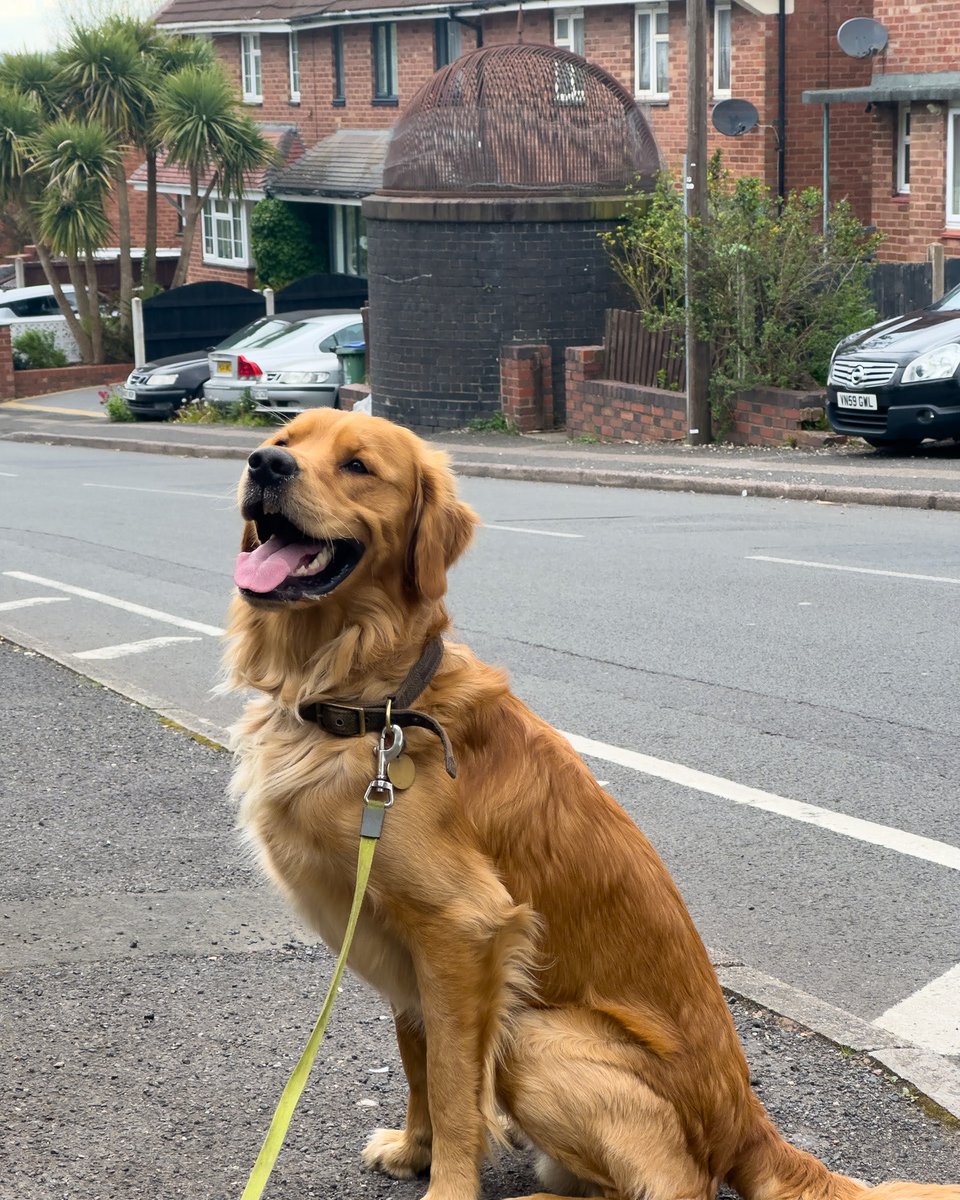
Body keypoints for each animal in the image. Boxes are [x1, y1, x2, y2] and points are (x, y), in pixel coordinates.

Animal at [226, 410, 960, 1200]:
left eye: (358, 465)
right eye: (287, 440)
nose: (264, 464)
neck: (372, 701)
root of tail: (749, 1125)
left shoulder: (462, 929)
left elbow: (453, 1088)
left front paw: (446, 1182)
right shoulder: (405, 945)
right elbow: (417, 1058)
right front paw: (414, 1148)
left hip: (537, 1032)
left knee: (671, 1187)